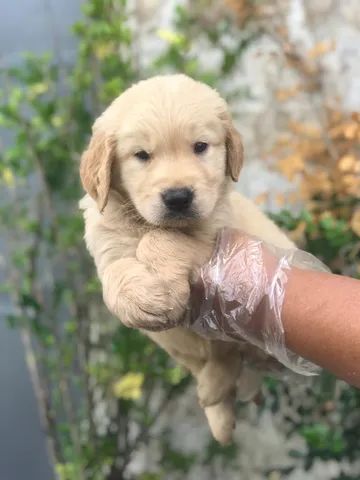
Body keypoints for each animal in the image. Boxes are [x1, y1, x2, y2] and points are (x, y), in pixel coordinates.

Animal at [79, 73, 296, 444]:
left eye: (200, 147)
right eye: (142, 155)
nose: (178, 197)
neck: (143, 222)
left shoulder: (217, 230)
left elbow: (160, 240)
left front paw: (160, 282)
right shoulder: (106, 240)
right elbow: (119, 269)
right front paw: (142, 299)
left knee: (227, 353)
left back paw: (214, 396)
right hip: (176, 344)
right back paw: (219, 411)